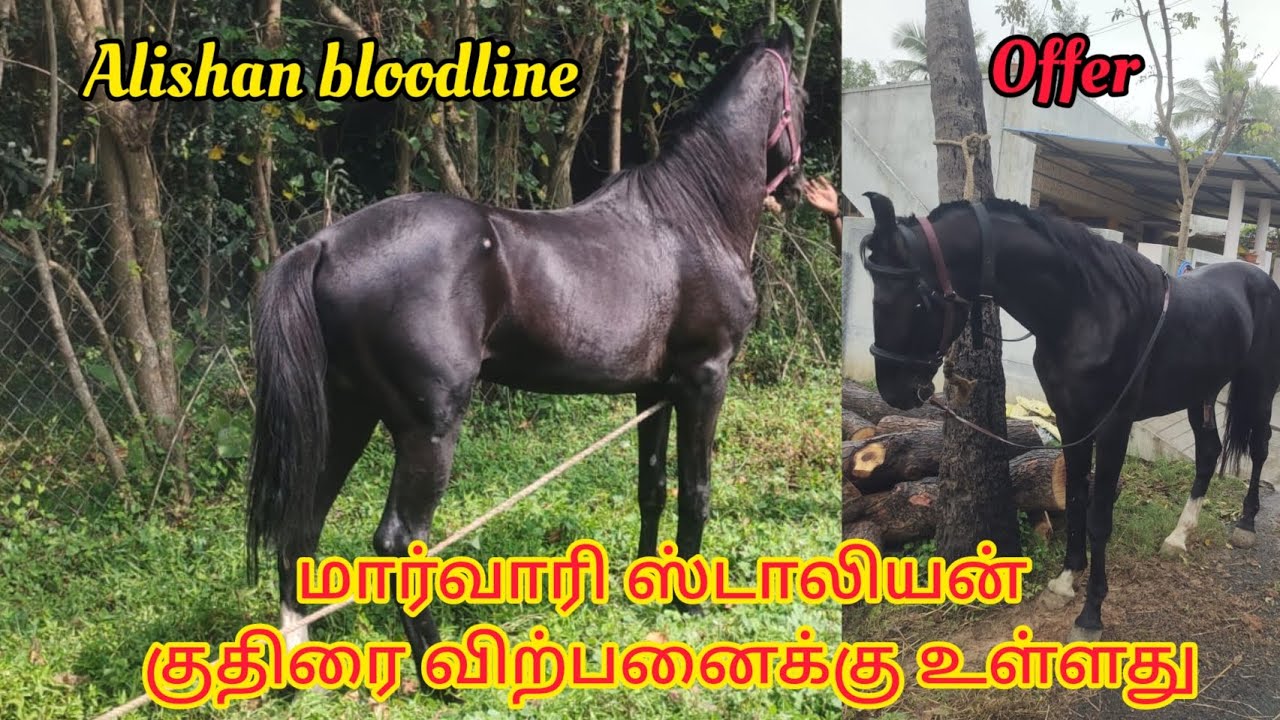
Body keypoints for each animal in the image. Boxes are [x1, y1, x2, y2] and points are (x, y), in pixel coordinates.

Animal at [244, 22, 808, 683]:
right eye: (799, 94)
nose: (801, 183)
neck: (692, 219)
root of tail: (325, 245)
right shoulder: (705, 379)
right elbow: (696, 491)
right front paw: (690, 604)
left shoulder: (654, 391)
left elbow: (653, 486)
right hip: (426, 429)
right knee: (399, 539)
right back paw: (439, 676)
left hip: (347, 415)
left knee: (301, 525)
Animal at [858, 191, 1280, 642]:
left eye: (917, 300)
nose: (894, 391)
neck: (1086, 309)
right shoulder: (1071, 420)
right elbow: (1076, 499)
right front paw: (1065, 581)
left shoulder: (1114, 426)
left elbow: (1099, 515)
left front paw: (1090, 614)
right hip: (1199, 393)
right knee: (1208, 454)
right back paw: (1179, 536)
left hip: (1259, 386)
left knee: (1258, 449)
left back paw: (1246, 525)